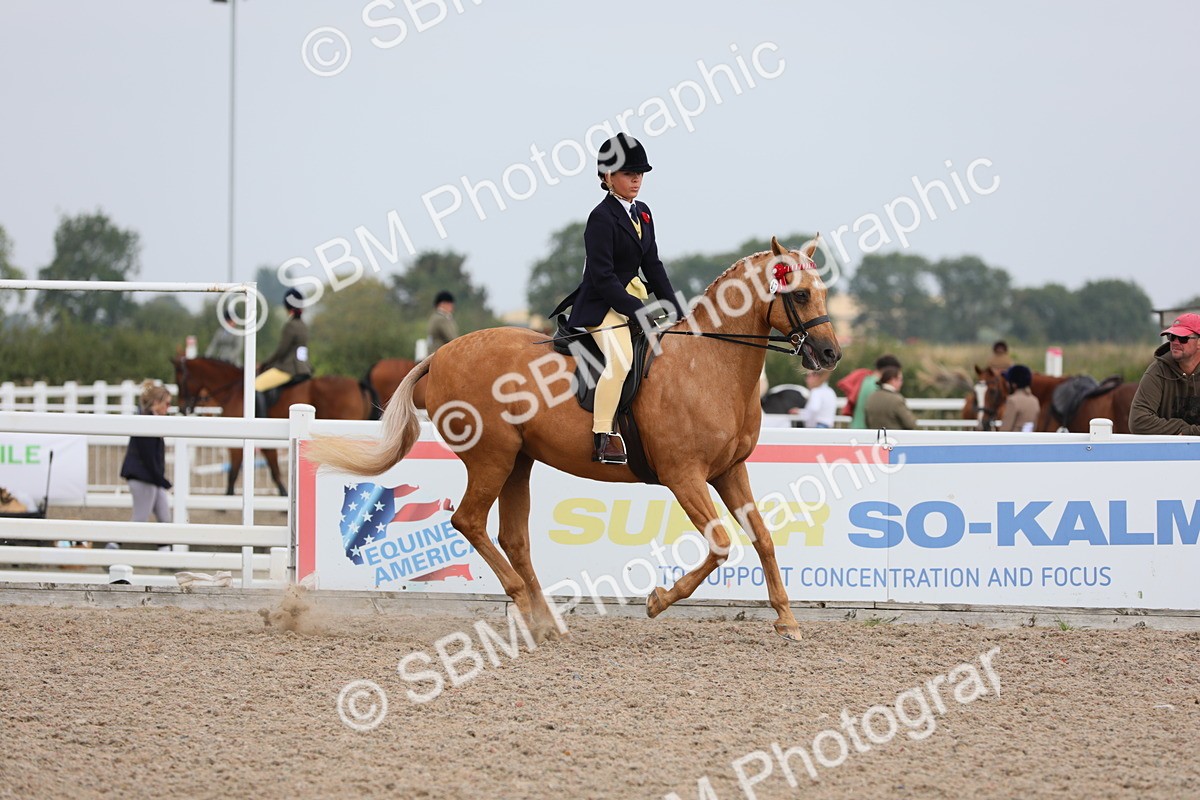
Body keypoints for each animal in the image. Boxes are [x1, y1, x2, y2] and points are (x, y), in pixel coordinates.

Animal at [172, 357, 375, 495]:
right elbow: (274, 471)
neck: (234, 390)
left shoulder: (239, 442)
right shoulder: (265, 443)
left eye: (181, 381)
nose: (182, 408)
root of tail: (357, 384)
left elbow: (234, 471)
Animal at [306, 237, 841, 643]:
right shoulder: (683, 475)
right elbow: (720, 544)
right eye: (797, 295)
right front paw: (657, 601)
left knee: (513, 537)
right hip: (491, 458)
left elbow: (763, 538)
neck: (708, 365)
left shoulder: (730, 471)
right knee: (469, 521)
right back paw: (525, 605)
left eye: (822, 292)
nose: (830, 354)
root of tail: (438, 357)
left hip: (518, 461)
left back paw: (546, 620)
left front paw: (787, 621)